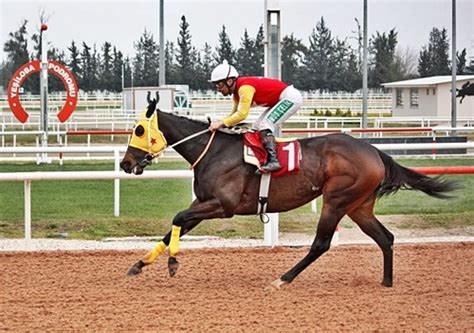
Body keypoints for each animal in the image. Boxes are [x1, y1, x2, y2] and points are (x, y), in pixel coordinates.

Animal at [120, 93, 458, 288]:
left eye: (138, 129)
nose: (125, 163)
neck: (213, 151)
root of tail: (374, 151)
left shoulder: (223, 205)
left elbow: (177, 218)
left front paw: (173, 263)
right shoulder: (203, 203)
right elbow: (173, 227)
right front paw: (139, 264)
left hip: (337, 200)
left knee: (321, 244)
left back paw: (283, 279)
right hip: (359, 206)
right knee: (385, 238)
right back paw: (386, 282)